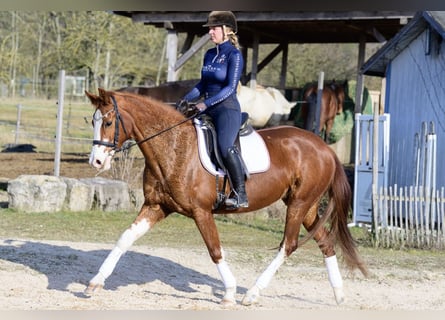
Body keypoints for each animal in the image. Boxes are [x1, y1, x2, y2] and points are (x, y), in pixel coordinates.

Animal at [85, 88, 366, 308]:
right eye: (93, 122)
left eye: (108, 123)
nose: (96, 162)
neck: (175, 145)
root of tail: (325, 148)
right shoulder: (157, 206)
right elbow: (125, 239)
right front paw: (95, 282)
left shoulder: (201, 212)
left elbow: (215, 249)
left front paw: (229, 292)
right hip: (306, 206)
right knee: (326, 242)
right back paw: (339, 295)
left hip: (299, 205)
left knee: (288, 245)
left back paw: (251, 294)